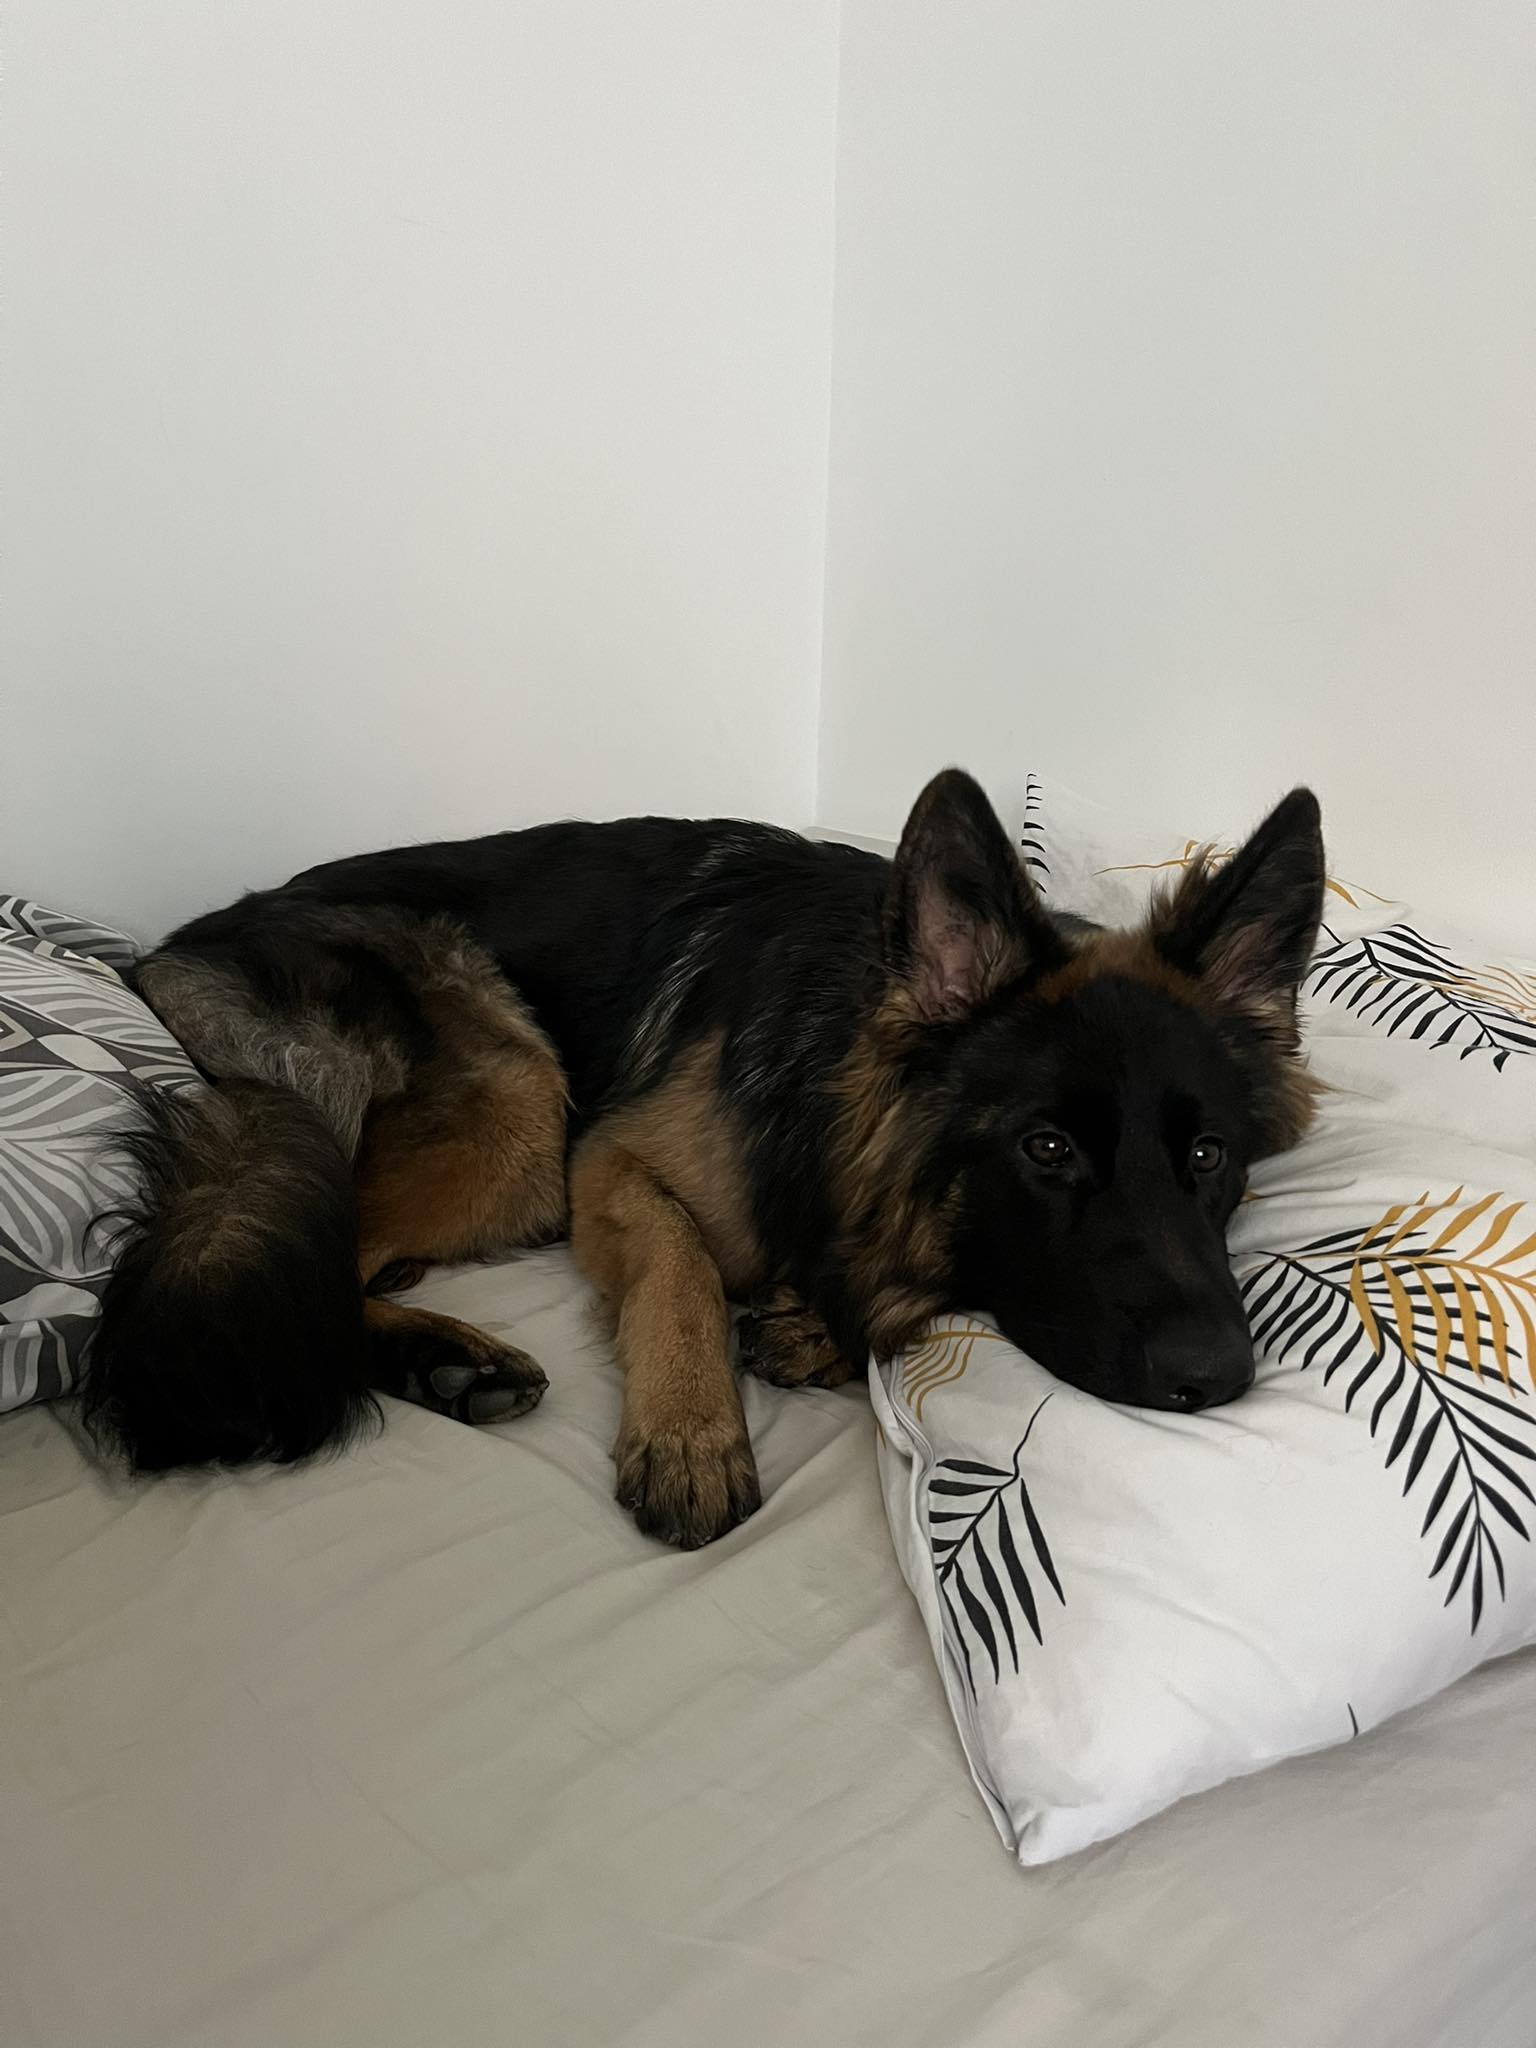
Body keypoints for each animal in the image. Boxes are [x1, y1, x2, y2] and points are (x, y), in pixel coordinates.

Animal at [84, 769, 1326, 1547]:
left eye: (1209, 1153)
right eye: (1049, 1147)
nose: (1220, 1374)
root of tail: (170, 949)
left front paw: (812, 1326)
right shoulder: (608, 1161)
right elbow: (678, 1265)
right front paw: (689, 1430)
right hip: (523, 1111)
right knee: (317, 1269)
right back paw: (447, 1353)